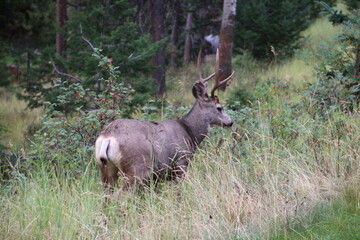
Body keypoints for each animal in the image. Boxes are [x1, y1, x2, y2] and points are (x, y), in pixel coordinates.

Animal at [95, 49, 235, 190]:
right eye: (219, 108)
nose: (230, 122)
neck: (189, 132)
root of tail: (107, 138)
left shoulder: (157, 177)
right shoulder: (181, 162)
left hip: (106, 170)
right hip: (137, 168)